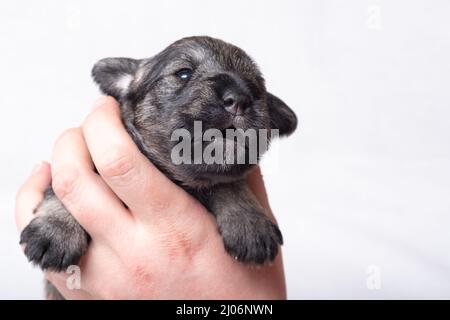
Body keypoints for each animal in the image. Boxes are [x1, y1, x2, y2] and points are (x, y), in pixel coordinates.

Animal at [20, 35, 296, 296]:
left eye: (258, 87)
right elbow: (60, 190)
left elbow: (228, 182)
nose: (239, 98)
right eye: (183, 73)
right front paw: (56, 231)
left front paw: (250, 223)